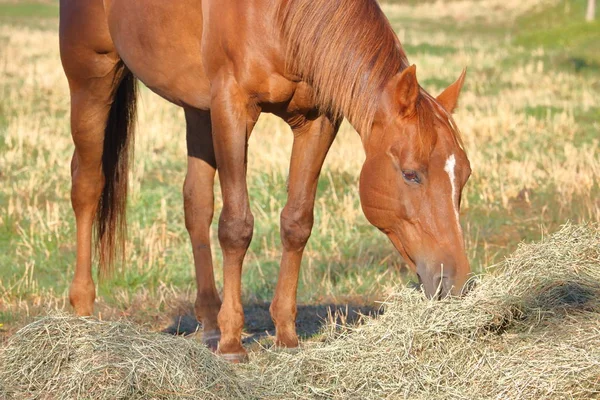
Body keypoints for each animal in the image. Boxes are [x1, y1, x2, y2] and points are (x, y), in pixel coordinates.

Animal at [59, 0, 474, 362]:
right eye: (410, 174)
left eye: (465, 175)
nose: (456, 282)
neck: (278, 15)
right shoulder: (233, 106)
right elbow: (236, 226)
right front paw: (232, 343)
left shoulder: (317, 120)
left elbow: (297, 223)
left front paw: (285, 335)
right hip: (90, 78)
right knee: (87, 186)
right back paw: (82, 311)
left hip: (197, 106)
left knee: (196, 205)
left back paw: (208, 323)